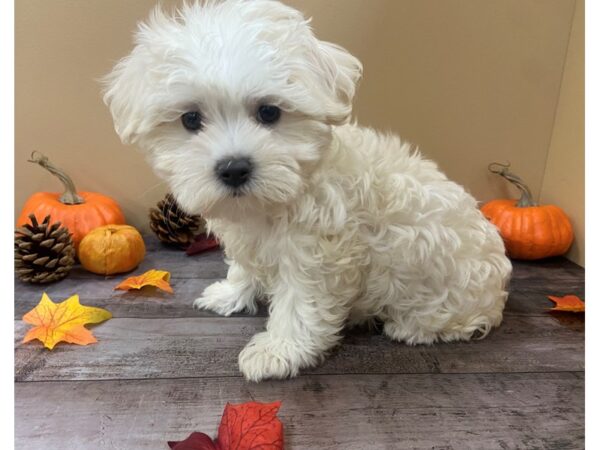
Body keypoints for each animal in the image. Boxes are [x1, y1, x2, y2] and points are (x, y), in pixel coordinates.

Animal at [103, 0, 510, 382]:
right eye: (190, 119)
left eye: (269, 112)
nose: (234, 168)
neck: (274, 200)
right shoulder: (249, 238)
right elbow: (244, 266)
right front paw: (231, 293)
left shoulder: (317, 254)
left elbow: (300, 303)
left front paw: (278, 350)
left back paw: (411, 327)